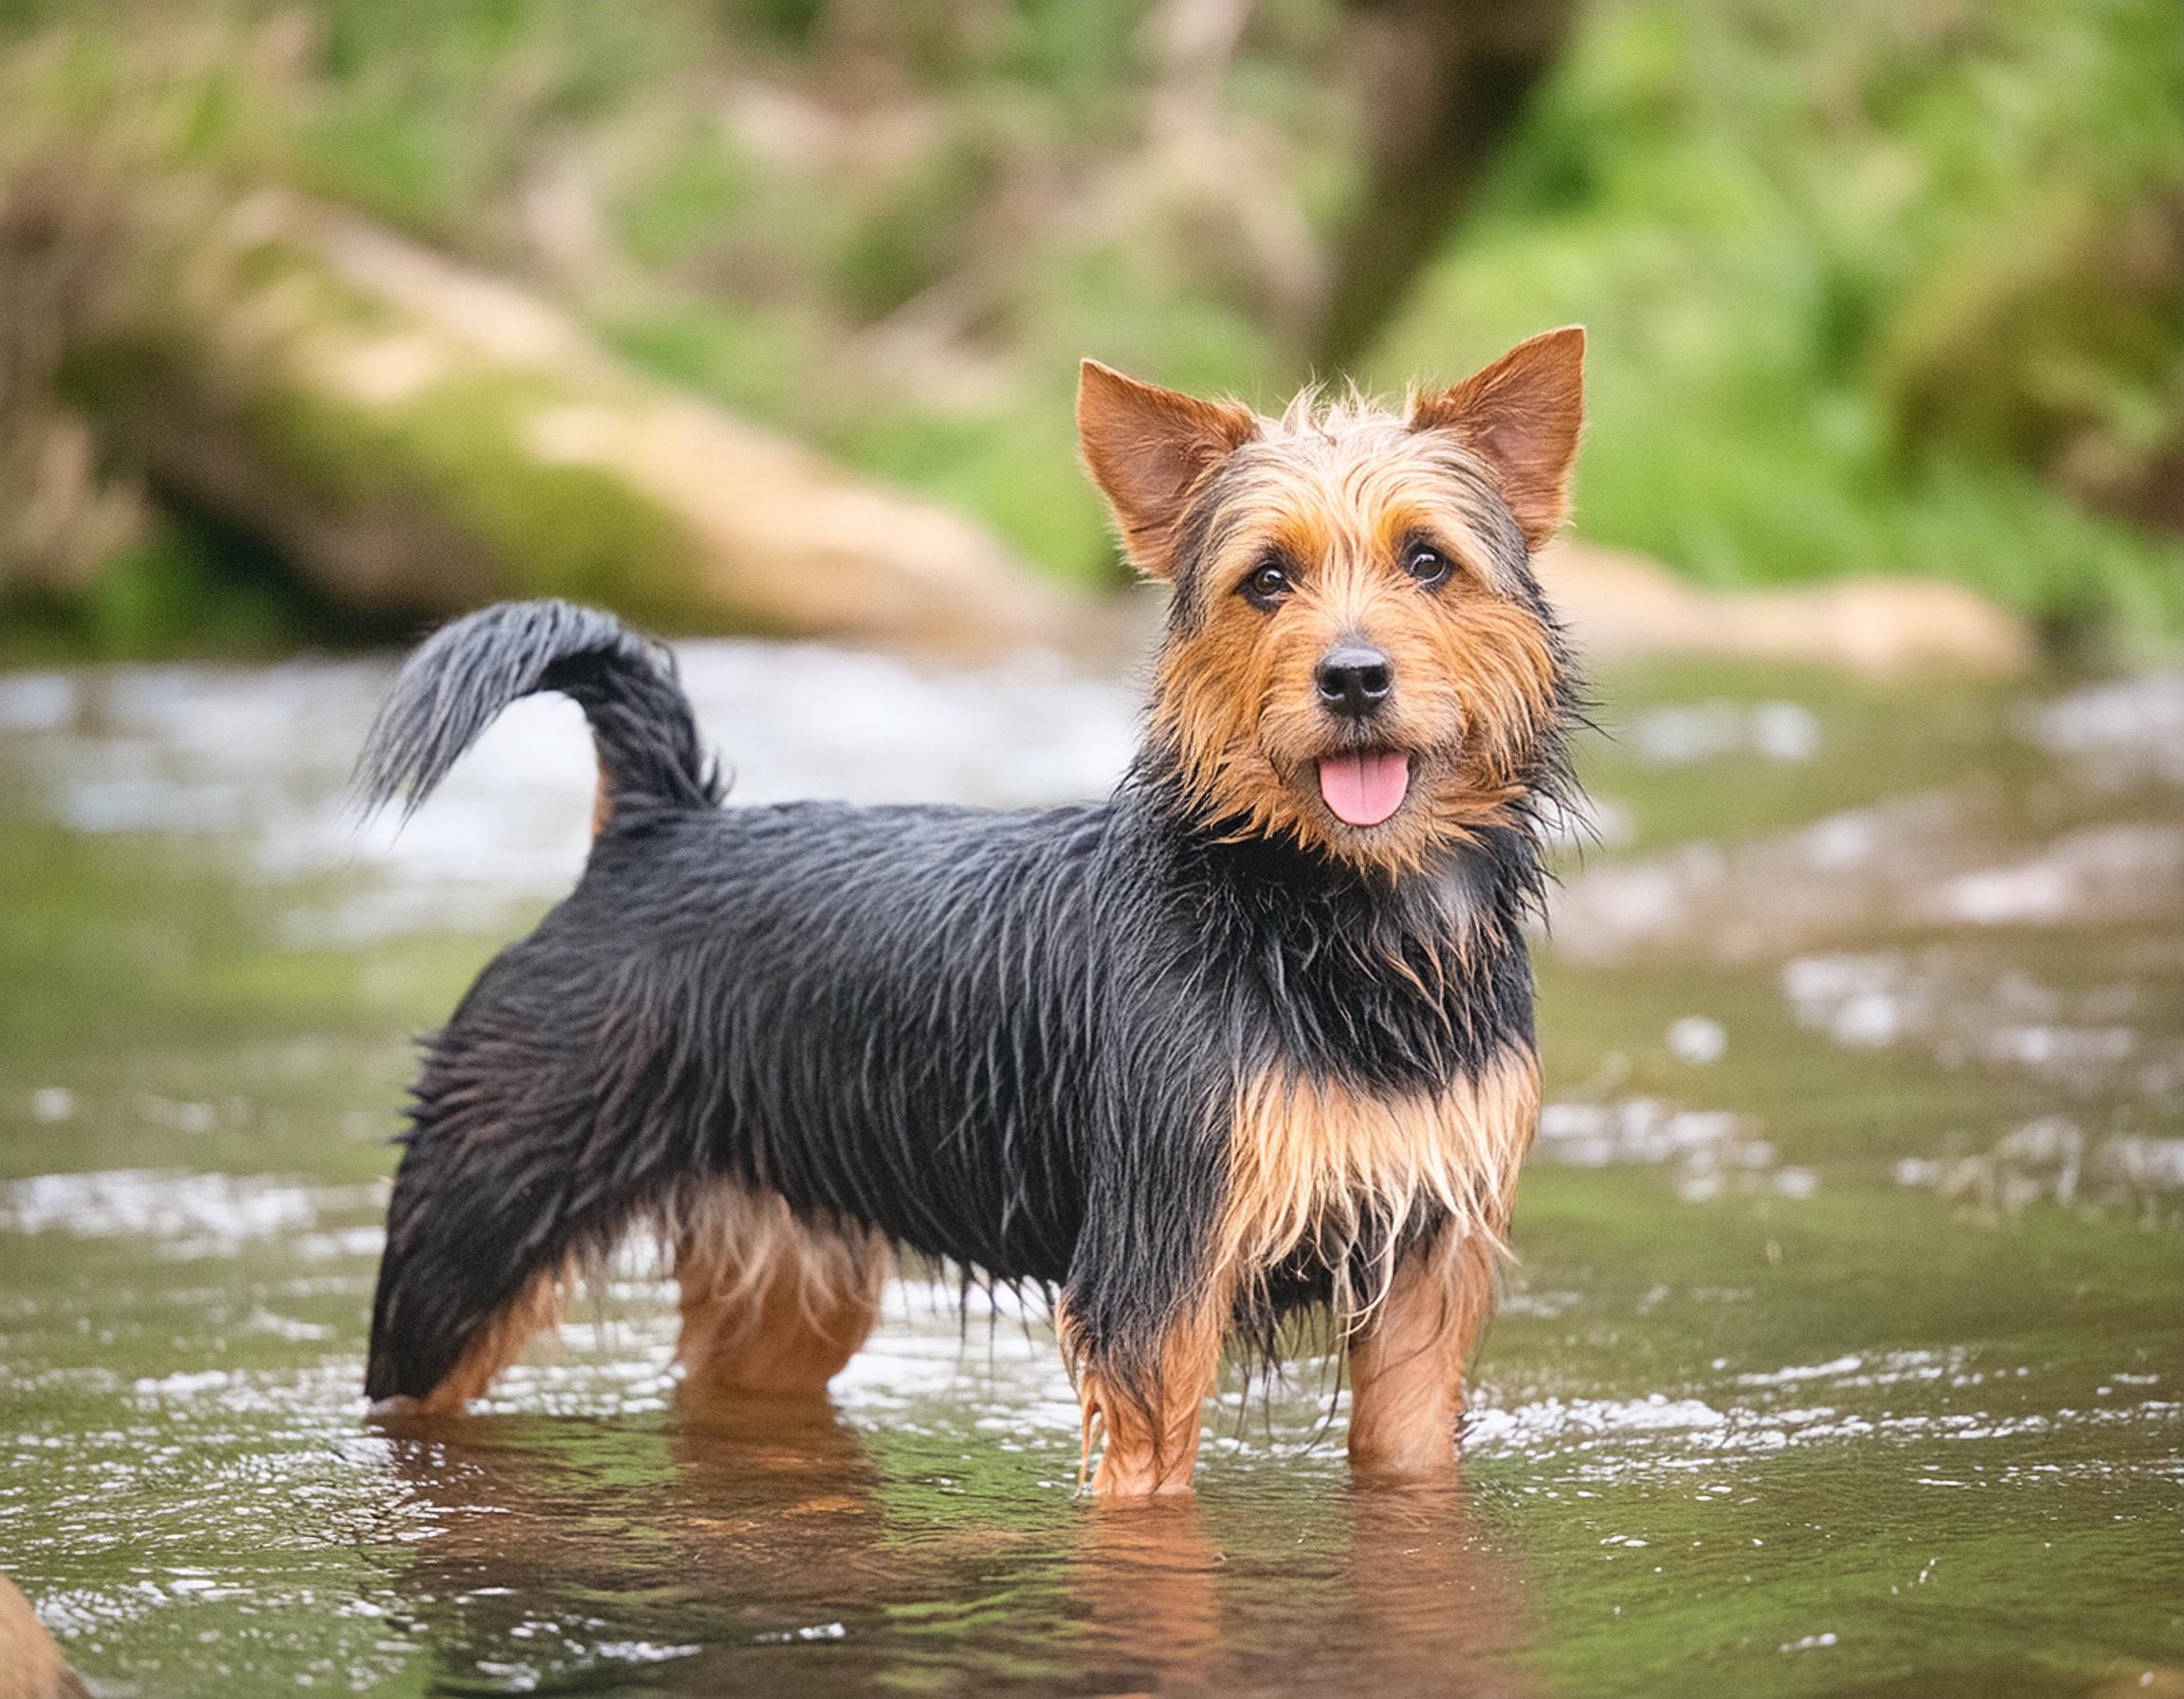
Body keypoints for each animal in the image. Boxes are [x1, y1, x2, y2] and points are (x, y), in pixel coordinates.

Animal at [357, 325, 1590, 1493]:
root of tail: (656, 824)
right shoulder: (1154, 1278)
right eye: (1268, 579)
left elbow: (1409, 1457)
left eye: (1428, 561)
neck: (1332, 918)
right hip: (465, 1246)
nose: (1353, 676)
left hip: (785, 1291)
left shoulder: (1427, 1272)